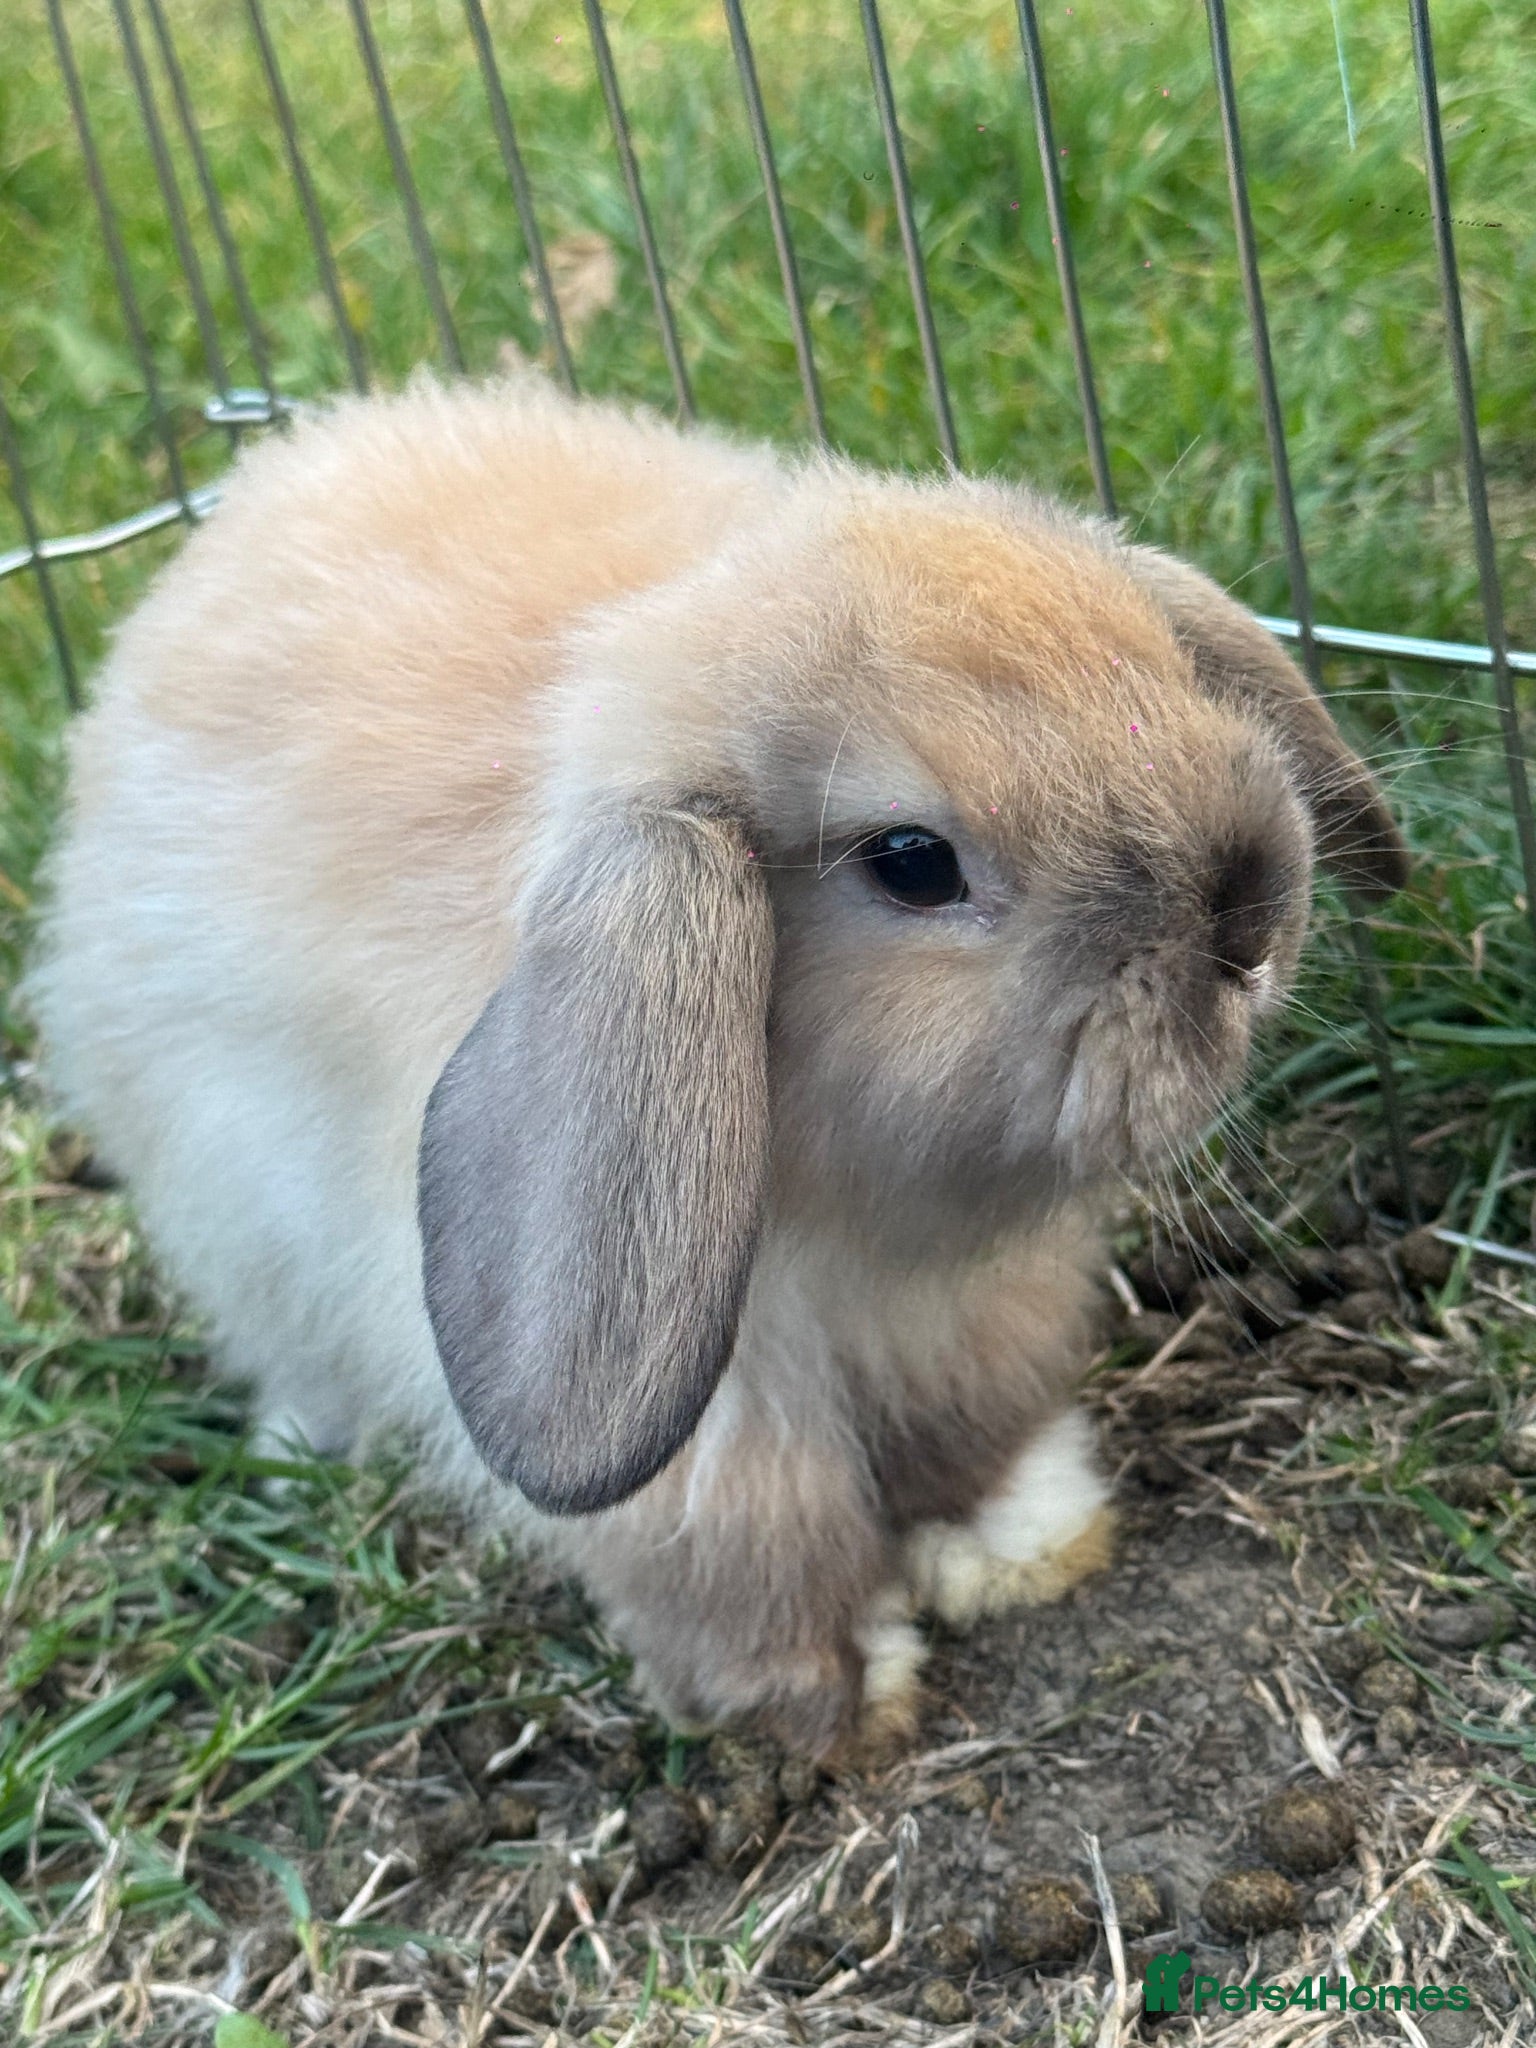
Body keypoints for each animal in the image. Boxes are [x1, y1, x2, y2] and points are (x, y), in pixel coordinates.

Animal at [28, 371, 1407, 1762]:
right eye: (912, 861)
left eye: (1169, 668)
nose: (1251, 919)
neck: (857, 1209)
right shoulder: (718, 1426)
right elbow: (750, 1550)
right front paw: (833, 1695)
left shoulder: (972, 1317)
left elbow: (983, 1429)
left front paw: (1024, 1543)